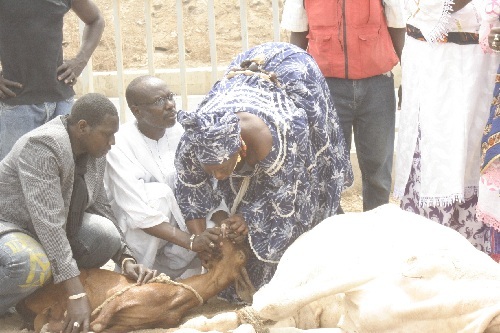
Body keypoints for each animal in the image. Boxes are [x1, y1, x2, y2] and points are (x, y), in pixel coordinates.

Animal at [17, 236, 252, 332]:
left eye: (241, 255)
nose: (226, 231)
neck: (174, 295)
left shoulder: (128, 324)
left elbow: (99, 327)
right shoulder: (122, 297)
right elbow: (96, 323)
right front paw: (51, 326)